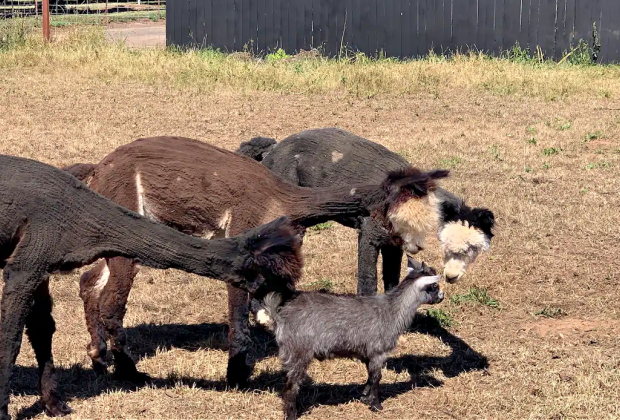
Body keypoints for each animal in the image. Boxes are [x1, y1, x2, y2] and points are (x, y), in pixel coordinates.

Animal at [260, 256, 444, 420]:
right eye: (434, 286)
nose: (441, 296)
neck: (392, 310)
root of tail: (279, 317)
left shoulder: (367, 354)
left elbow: (370, 376)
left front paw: (365, 397)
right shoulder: (378, 352)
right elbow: (377, 377)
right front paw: (376, 405)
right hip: (299, 353)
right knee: (291, 387)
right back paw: (291, 415)